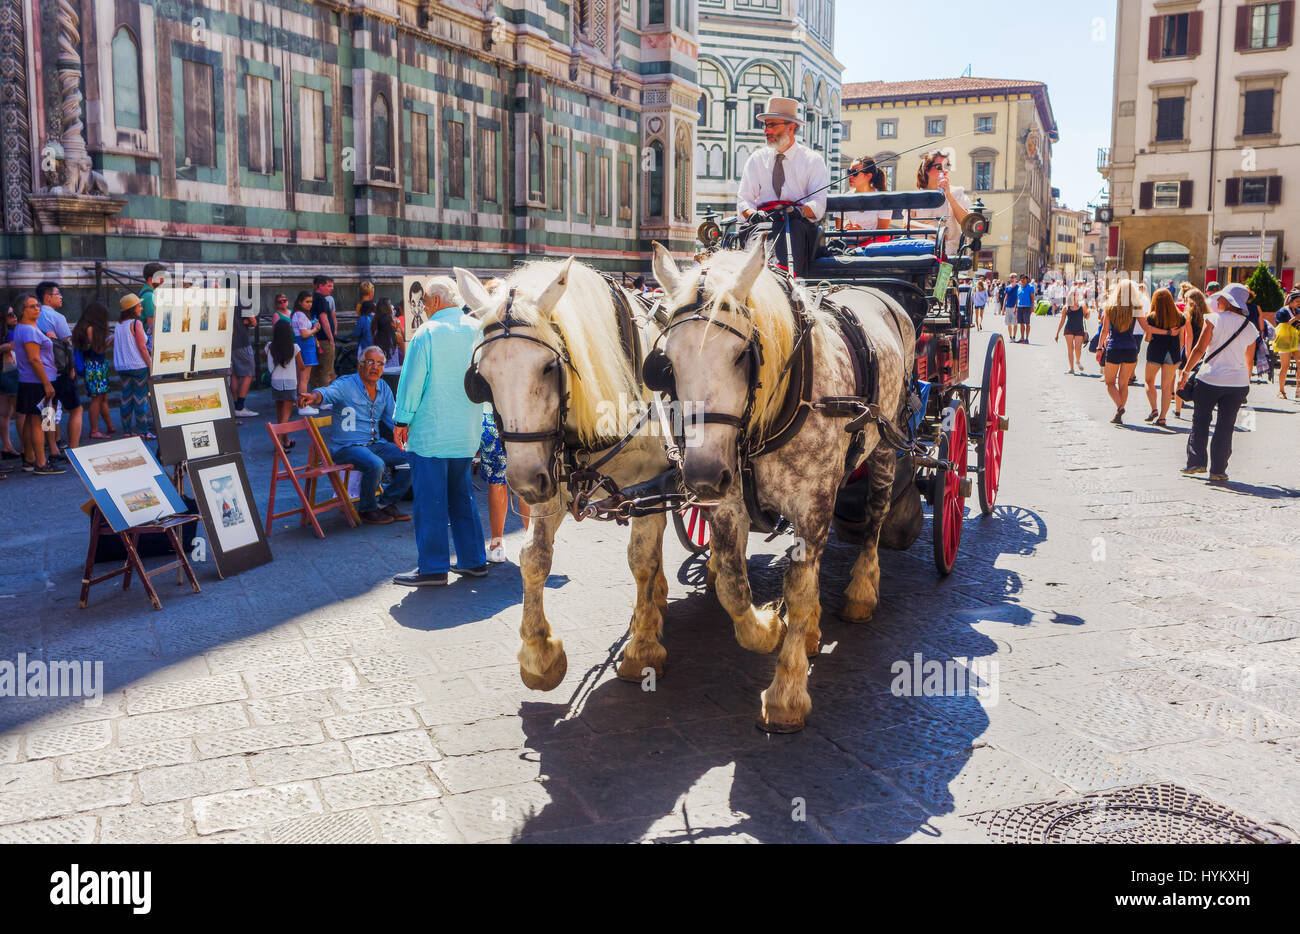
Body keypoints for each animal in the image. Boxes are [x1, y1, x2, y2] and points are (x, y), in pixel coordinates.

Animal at [457, 262, 676, 697]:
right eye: (481, 377)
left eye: (549, 367)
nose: (523, 482)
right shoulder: (551, 478)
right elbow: (534, 557)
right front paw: (539, 655)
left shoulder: (651, 483)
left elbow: (641, 560)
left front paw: (642, 650)